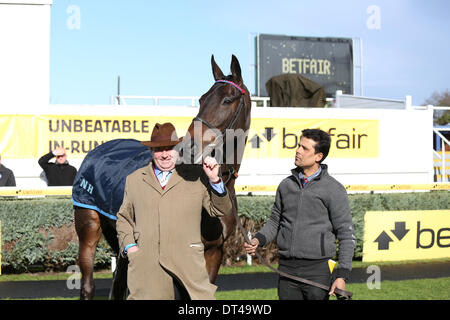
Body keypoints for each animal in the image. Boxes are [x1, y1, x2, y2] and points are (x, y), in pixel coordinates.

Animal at [72, 55, 251, 300]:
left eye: (228, 99)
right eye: (201, 99)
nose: (189, 145)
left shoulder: (214, 252)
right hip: (88, 226)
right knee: (88, 284)